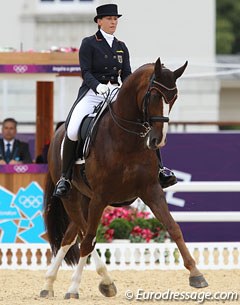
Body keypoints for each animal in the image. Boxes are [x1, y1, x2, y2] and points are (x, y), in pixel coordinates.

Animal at [40, 58, 207, 298]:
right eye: (154, 96)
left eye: (174, 97)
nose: (158, 140)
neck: (125, 139)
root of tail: (57, 134)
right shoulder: (100, 197)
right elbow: (89, 240)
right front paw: (74, 288)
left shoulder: (151, 190)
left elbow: (174, 228)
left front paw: (196, 274)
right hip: (71, 197)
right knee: (83, 234)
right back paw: (97, 281)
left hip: (85, 199)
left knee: (70, 235)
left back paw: (49, 284)